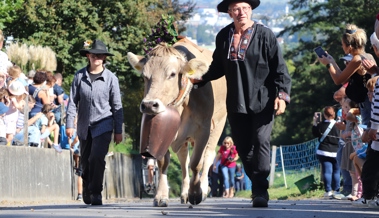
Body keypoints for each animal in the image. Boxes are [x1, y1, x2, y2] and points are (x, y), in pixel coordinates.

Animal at [127, 38, 229, 207]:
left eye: (172, 74)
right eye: (145, 76)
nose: (149, 104)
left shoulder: (203, 129)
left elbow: (197, 162)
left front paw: (196, 193)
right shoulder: (161, 130)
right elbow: (164, 162)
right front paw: (161, 196)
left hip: (218, 125)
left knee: (208, 155)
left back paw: (203, 189)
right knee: (183, 159)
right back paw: (184, 193)